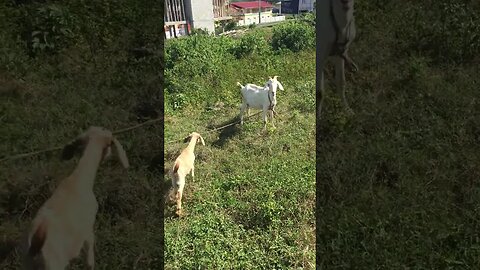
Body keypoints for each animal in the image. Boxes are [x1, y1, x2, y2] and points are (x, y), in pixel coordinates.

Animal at [22, 126, 129, 270]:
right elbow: (89, 257)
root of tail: (37, 240)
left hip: (27, 264)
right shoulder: (88, 228)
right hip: (54, 264)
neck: (78, 180)